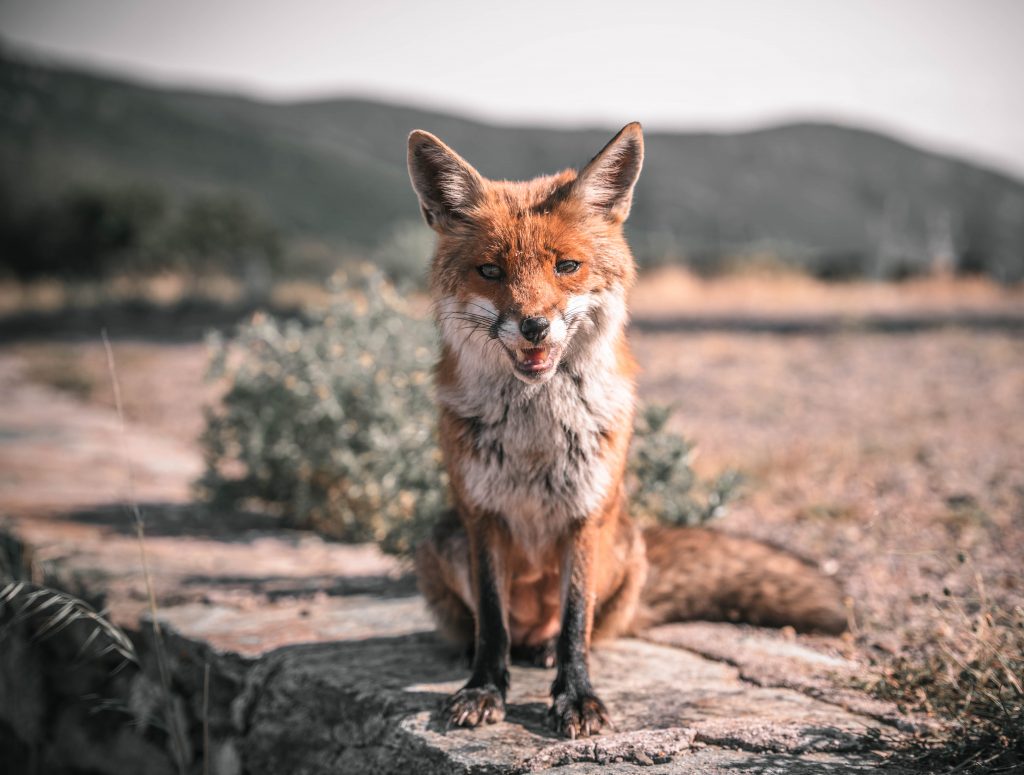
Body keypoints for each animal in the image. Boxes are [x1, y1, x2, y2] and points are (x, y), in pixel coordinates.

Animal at [403, 123, 843, 741]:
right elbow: (492, 621)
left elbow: (575, 624)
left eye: (566, 266)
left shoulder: (586, 514)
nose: (533, 326)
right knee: (497, 629)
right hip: (443, 534)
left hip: (624, 546)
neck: (535, 438)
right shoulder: (481, 516)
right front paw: (484, 688)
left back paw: (544, 653)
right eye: (490, 272)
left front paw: (576, 697)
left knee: (574, 631)